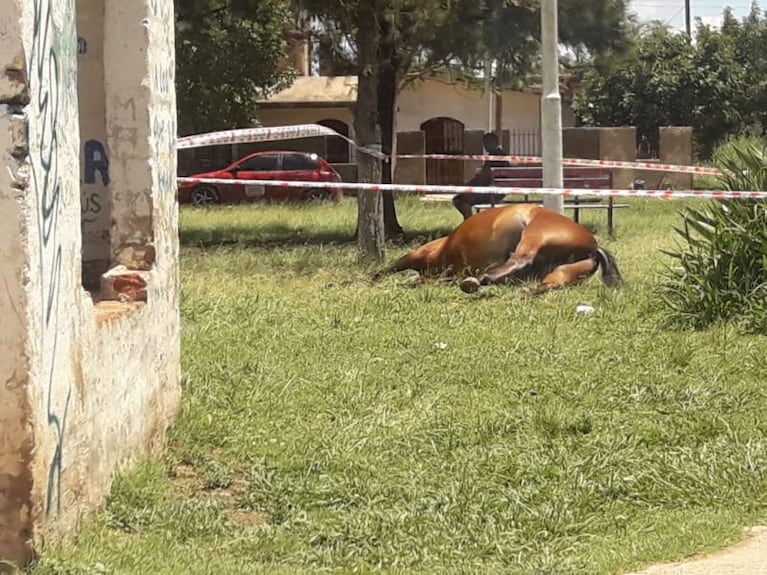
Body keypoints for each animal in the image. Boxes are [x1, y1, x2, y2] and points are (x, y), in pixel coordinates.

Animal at [372, 204, 624, 296]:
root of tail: (594, 247)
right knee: (549, 283)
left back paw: (476, 281)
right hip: (566, 270)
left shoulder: (422, 256)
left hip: (535, 233)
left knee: (519, 259)